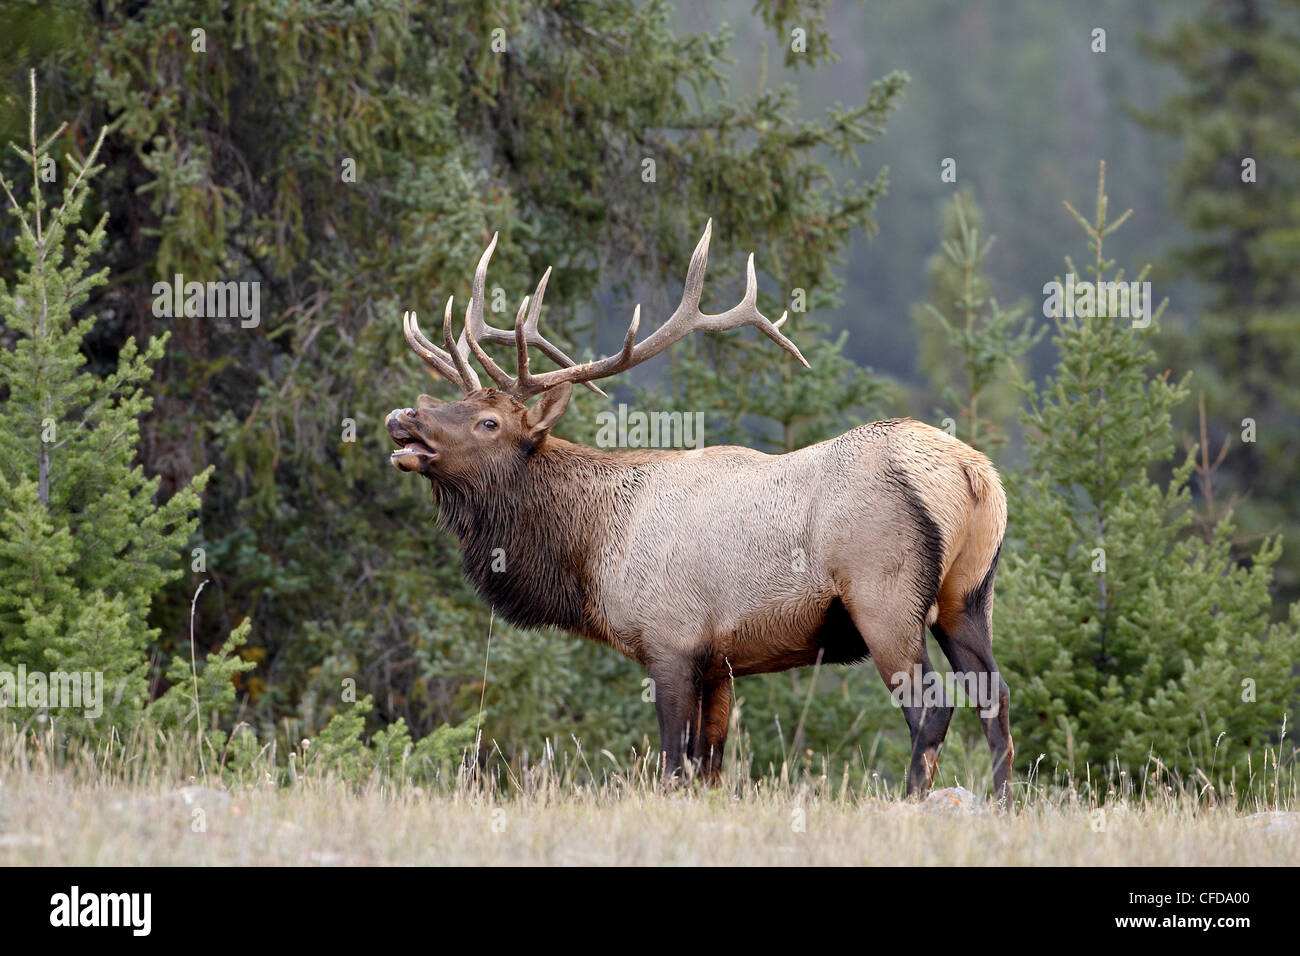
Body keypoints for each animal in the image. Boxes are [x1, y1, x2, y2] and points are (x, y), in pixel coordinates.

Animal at [384, 222, 1013, 801]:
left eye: (488, 422)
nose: (402, 417)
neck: (593, 552)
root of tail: (973, 473)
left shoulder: (671, 641)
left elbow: (673, 765)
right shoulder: (722, 664)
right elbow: (709, 768)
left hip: (884, 596)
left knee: (934, 707)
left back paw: (912, 799)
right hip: (967, 595)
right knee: (995, 696)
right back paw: (1003, 801)